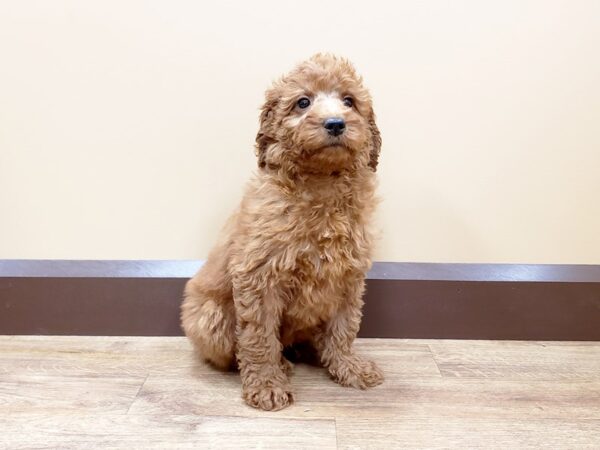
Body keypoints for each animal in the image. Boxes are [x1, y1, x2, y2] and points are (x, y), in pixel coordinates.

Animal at [180, 53, 382, 412]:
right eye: (302, 102)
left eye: (349, 101)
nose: (335, 123)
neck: (321, 184)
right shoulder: (259, 277)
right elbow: (258, 338)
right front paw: (267, 386)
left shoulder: (348, 277)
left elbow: (344, 328)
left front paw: (349, 367)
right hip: (209, 318)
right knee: (237, 351)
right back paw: (281, 365)